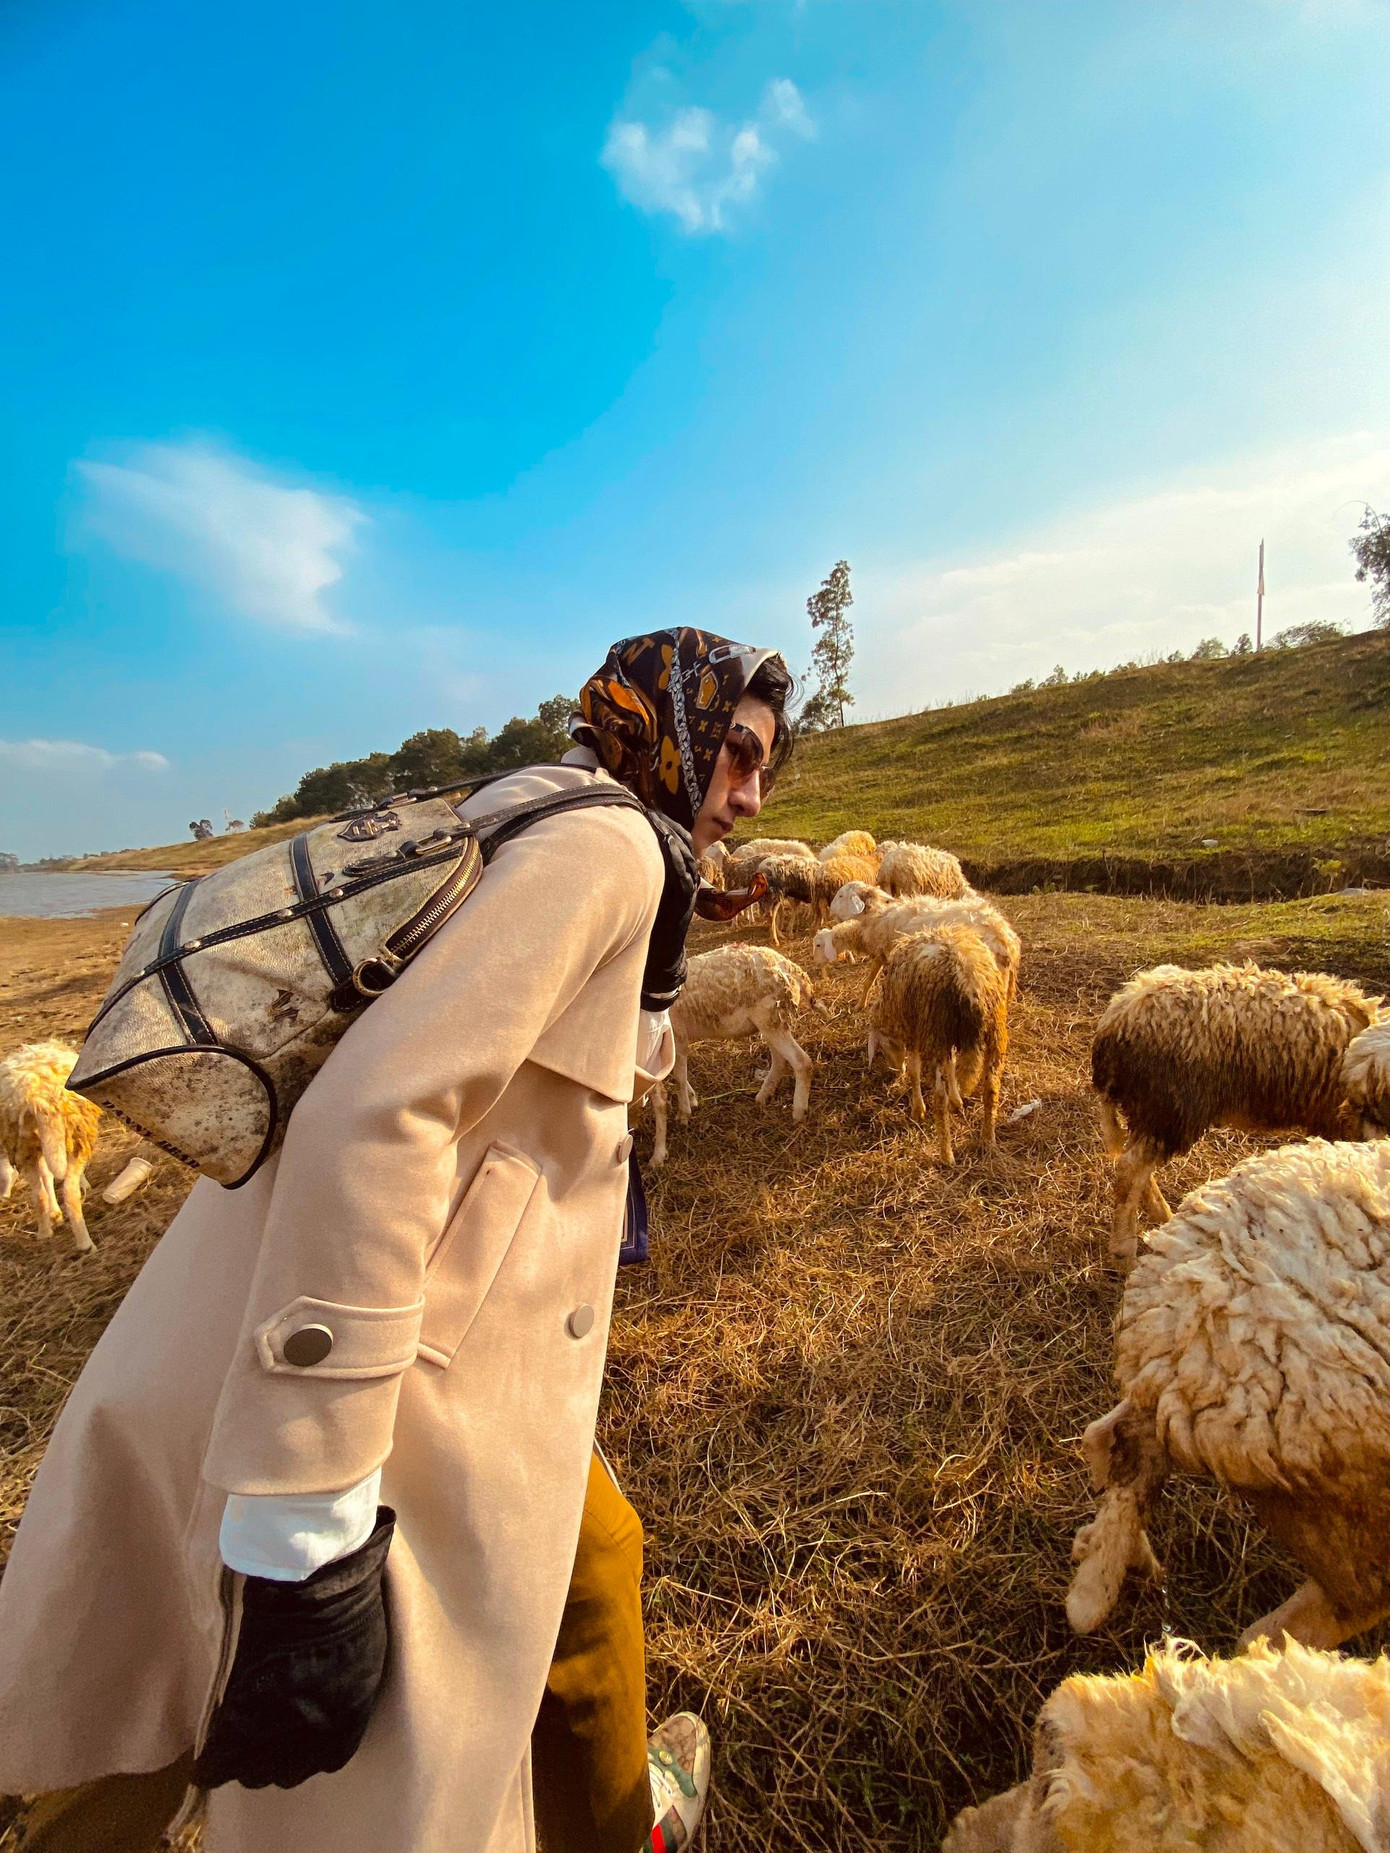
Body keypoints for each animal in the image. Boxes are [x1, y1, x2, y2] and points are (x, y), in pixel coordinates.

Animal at [0, 1040, 103, 1254]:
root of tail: (40, 1101)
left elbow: (47, 1175)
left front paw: (54, 1214)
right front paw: (84, 1184)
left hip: (22, 1148)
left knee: (38, 1193)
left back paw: (44, 1232)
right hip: (77, 1134)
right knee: (69, 1192)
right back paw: (86, 1244)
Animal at [649, 946, 822, 1168]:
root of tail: (788, 966)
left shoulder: (676, 1038)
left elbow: (679, 1077)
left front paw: (683, 1114)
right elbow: (681, 1075)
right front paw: (692, 1100)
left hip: (771, 1018)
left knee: (802, 1062)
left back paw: (798, 1111)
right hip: (772, 1020)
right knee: (780, 1060)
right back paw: (763, 1096)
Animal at [867, 925, 1009, 1161]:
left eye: (884, 1047)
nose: (895, 1072)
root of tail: (968, 981)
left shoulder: (914, 1032)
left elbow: (915, 1071)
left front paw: (918, 1109)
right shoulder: (944, 1039)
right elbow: (951, 1066)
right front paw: (957, 1101)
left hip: (935, 1028)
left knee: (939, 1098)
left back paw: (946, 1155)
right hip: (994, 1032)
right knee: (991, 1089)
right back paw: (988, 1140)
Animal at [1091, 961, 1379, 1260]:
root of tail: (1116, 1016)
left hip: (1150, 1111)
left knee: (1137, 1169)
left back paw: (1162, 1217)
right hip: (1170, 1108)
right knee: (1130, 1170)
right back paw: (1124, 1253)